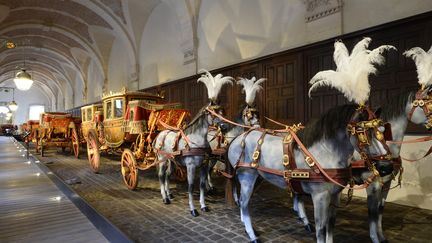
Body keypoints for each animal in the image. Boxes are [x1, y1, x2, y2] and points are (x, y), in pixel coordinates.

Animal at [230, 104, 392, 243]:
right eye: (364, 133)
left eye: (383, 131)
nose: (387, 167)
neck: (325, 152)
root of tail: (238, 138)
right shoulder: (320, 196)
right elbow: (321, 229)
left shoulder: (335, 194)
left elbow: (330, 225)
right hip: (247, 177)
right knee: (244, 204)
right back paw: (252, 235)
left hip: (258, 177)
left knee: (243, 202)